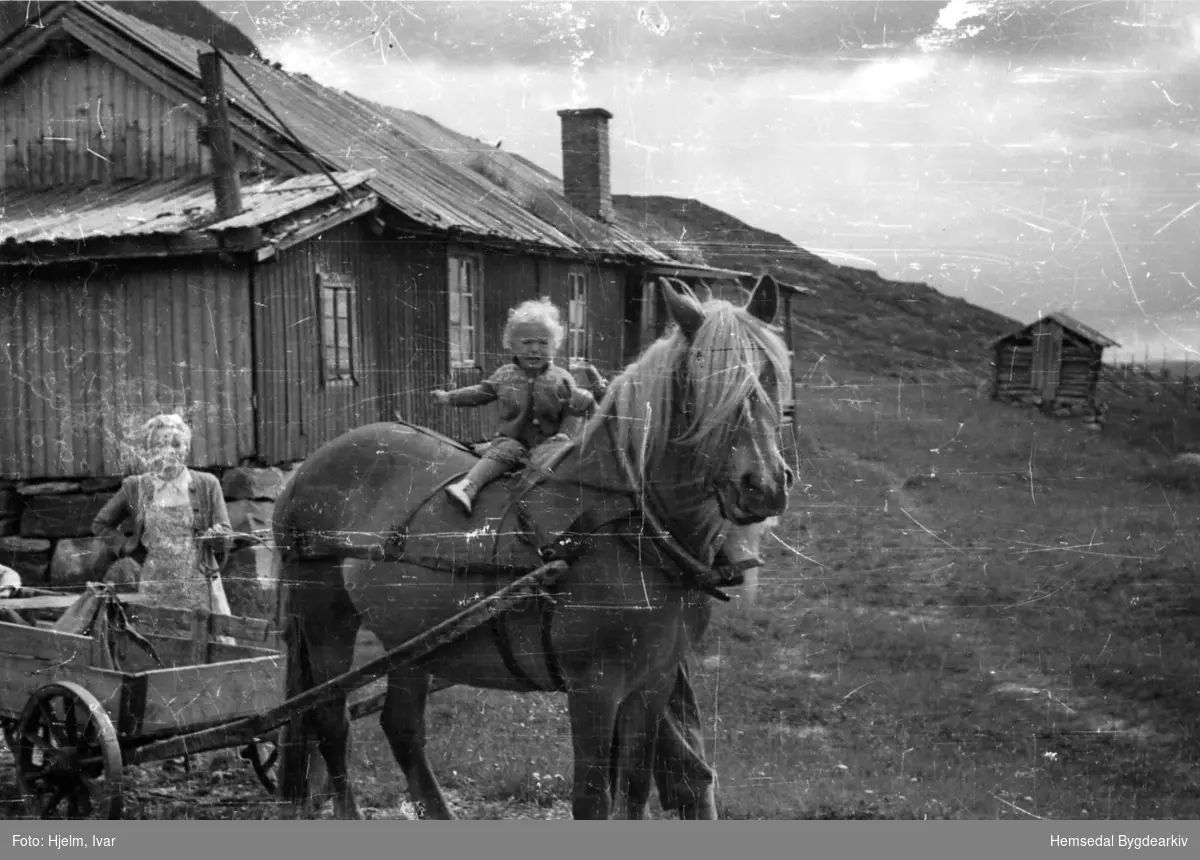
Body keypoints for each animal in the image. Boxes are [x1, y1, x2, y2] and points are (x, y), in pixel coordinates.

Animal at [273, 274, 796, 820]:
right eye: (700, 380)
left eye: (772, 372)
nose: (762, 487)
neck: (624, 530)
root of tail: (310, 465)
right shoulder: (594, 688)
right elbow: (593, 799)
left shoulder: (652, 683)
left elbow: (634, 791)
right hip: (323, 613)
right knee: (330, 720)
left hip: (409, 636)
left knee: (401, 727)